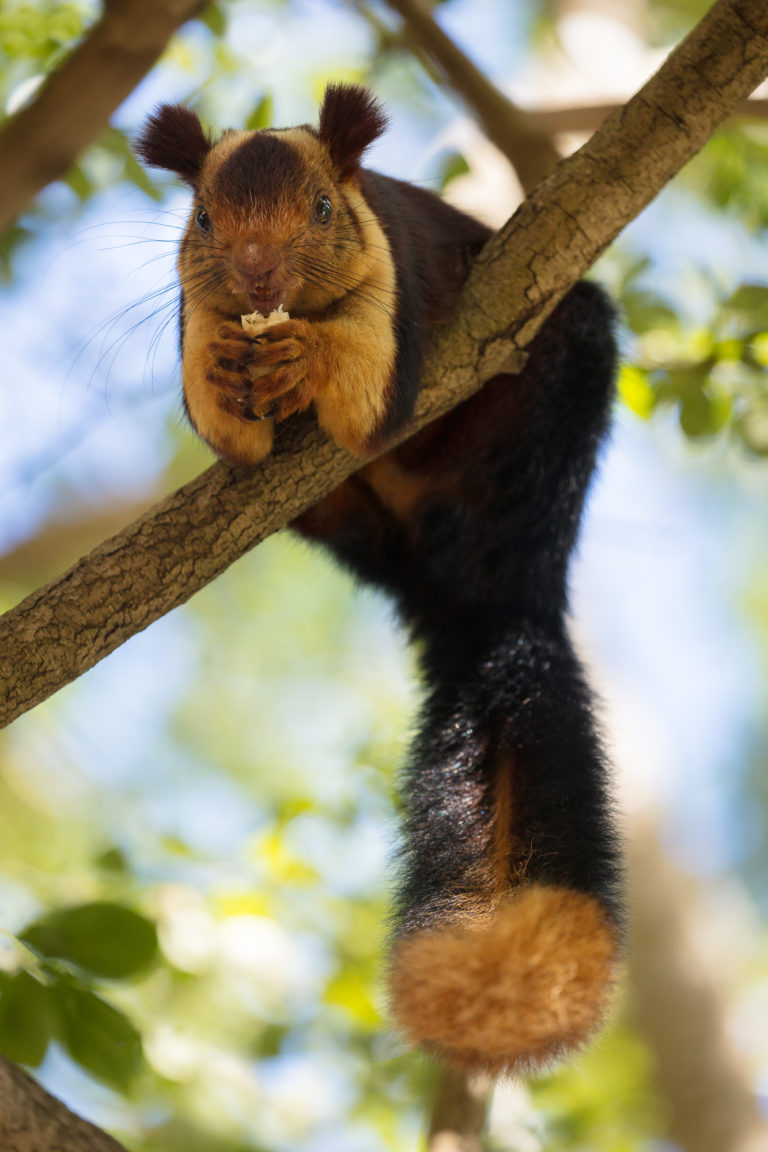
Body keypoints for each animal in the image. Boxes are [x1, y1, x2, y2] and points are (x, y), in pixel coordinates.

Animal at [136, 85, 626, 1073]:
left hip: (560, 388)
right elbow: (224, 427)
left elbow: (367, 401)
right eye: (203, 218)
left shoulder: (391, 288)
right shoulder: (194, 311)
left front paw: (307, 362)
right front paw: (231, 372)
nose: (256, 277)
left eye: (324, 209)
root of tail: (484, 600)